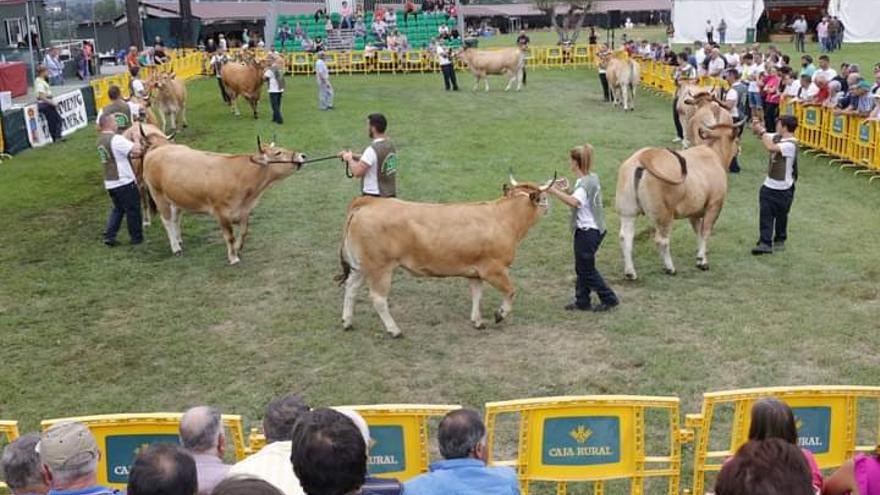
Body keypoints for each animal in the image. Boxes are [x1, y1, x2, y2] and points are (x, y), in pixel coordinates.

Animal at [334, 172, 552, 340]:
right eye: (543, 198)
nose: (549, 207)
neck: (504, 218)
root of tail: (368, 202)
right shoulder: (494, 269)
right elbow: (510, 290)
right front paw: (500, 314)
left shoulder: (475, 270)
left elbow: (477, 294)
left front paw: (477, 321)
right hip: (380, 267)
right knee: (378, 299)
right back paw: (394, 330)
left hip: (361, 266)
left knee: (351, 287)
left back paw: (347, 322)